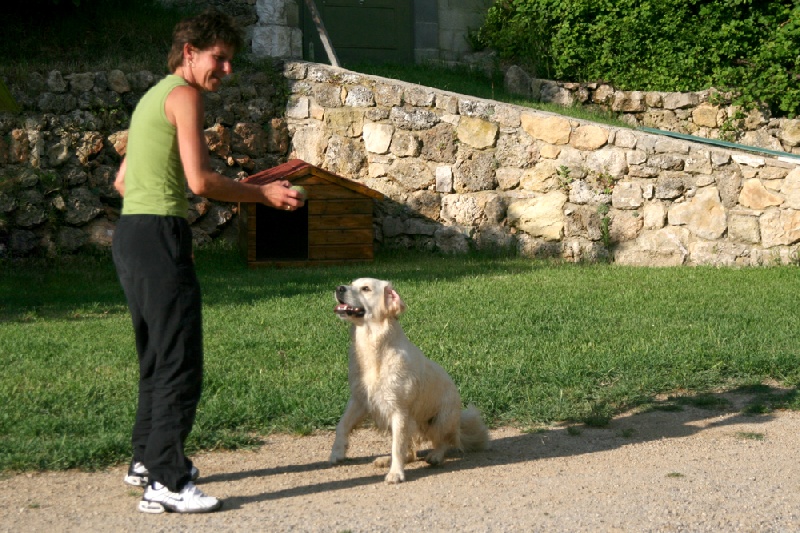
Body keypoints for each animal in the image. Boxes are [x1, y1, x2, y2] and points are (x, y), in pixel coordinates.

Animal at [330, 278, 488, 482]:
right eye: (351, 283)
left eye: (366, 288)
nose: (338, 288)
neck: (374, 346)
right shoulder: (360, 399)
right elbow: (342, 425)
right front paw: (337, 452)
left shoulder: (399, 410)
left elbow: (397, 447)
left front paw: (396, 473)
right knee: (411, 452)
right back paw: (385, 460)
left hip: (440, 420)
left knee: (443, 442)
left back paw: (435, 456)